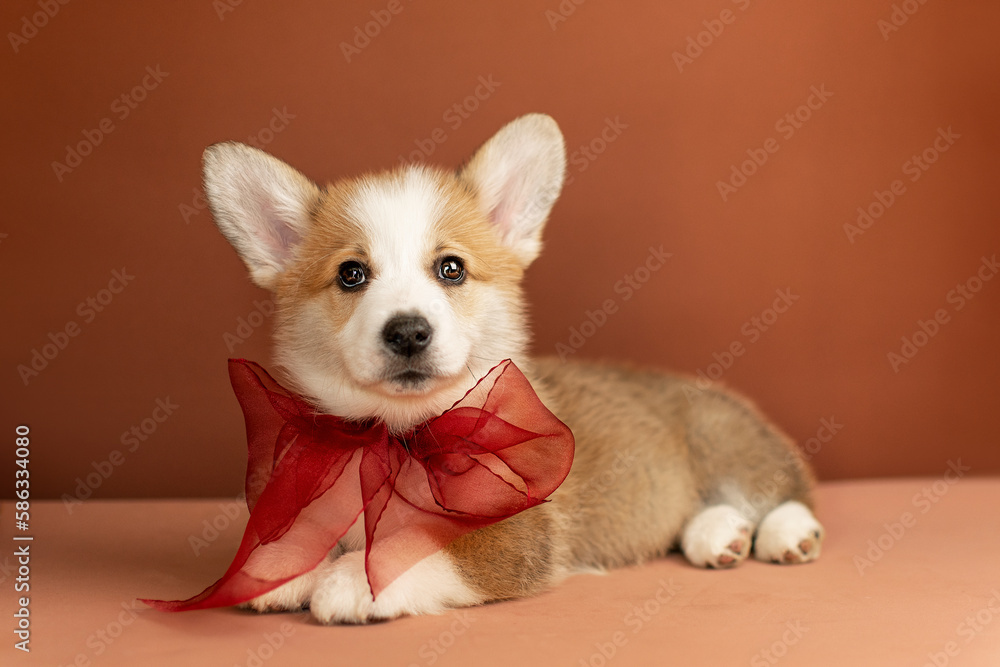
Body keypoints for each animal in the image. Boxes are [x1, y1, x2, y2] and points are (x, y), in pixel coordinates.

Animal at [201, 113, 820, 628]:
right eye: (351, 274)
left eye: (451, 269)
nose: (408, 332)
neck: (398, 438)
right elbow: (300, 531)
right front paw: (280, 565)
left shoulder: (516, 535)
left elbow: (426, 549)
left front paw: (352, 580)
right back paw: (718, 537)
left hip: (724, 440)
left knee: (783, 490)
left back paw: (785, 534)